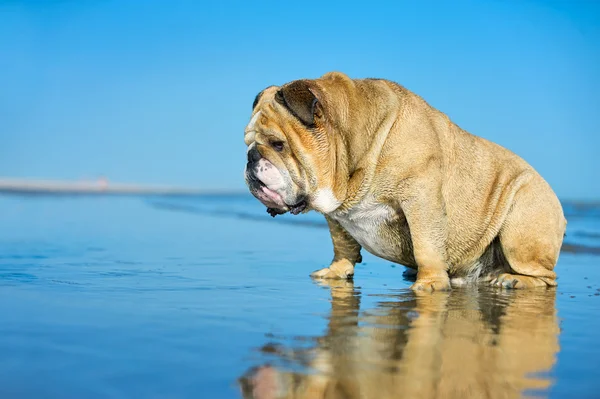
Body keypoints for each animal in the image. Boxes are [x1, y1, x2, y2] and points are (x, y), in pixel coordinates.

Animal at [244, 72, 568, 290]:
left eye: (278, 145)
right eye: (247, 143)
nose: (250, 157)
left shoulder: (420, 199)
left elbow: (426, 244)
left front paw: (430, 283)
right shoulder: (335, 216)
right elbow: (342, 245)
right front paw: (336, 271)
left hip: (521, 224)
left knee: (546, 276)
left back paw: (512, 280)